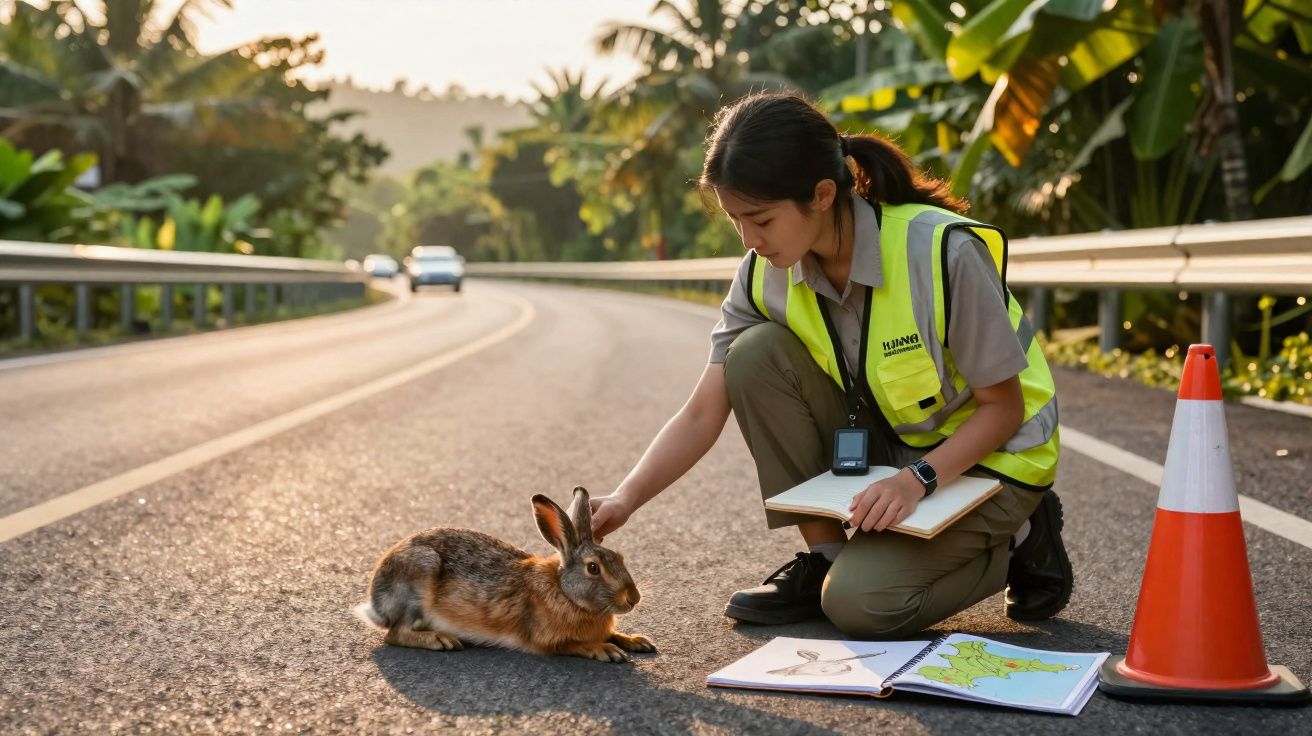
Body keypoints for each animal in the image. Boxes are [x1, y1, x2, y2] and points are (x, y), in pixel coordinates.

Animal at [354, 486, 655, 663]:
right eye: (593, 568)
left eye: (619, 557)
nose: (633, 598)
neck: (565, 591)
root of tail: (376, 604)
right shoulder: (547, 640)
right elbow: (574, 644)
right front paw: (605, 650)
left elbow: (613, 633)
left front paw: (637, 641)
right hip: (419, 574)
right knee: (395, 633)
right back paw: (440, 639)